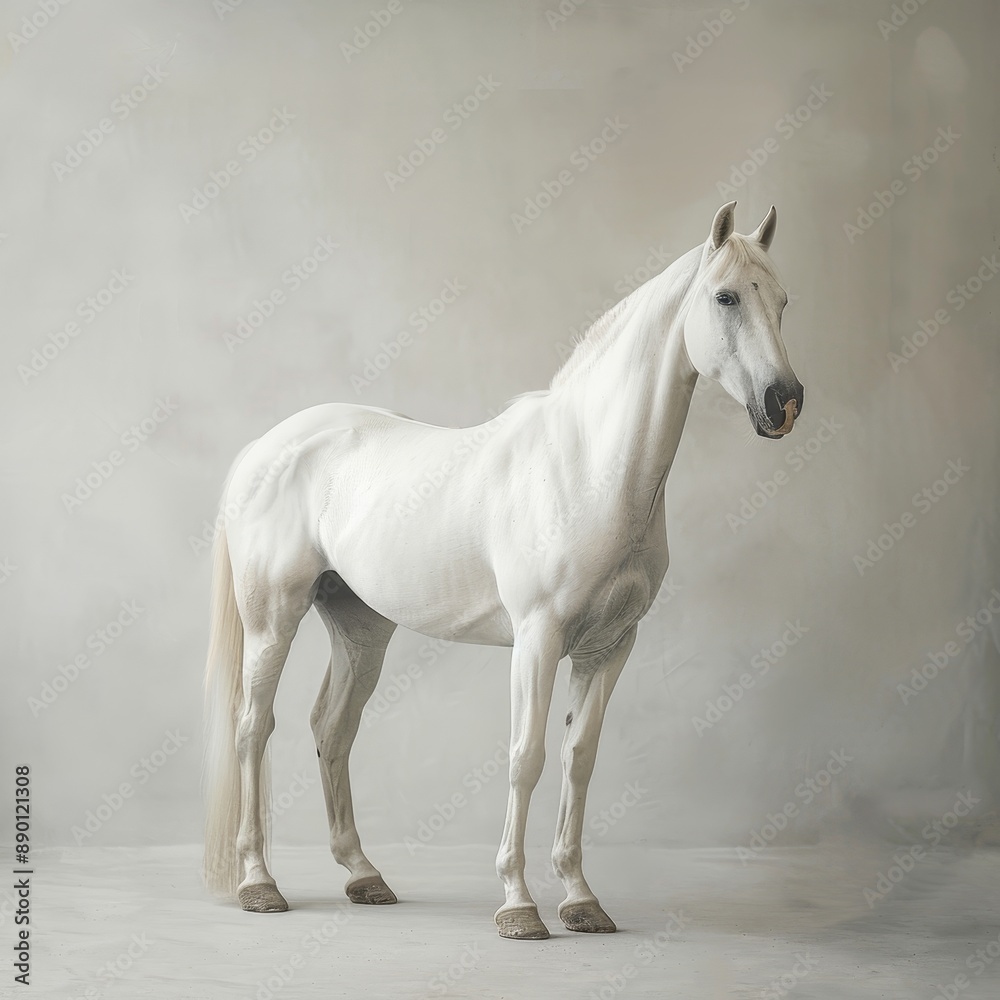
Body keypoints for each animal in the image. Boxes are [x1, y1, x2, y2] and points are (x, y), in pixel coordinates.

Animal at [202, 201, 804, 940]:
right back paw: (259, 882)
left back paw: (365, 876)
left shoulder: (611, 646)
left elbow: (579, 759)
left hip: (360, 626)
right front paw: (519, 906)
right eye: (725, 297)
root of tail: (268, 445)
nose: (784, 403)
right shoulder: (537, 639)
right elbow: (527, 758)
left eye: (782, 301)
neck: (589, 466)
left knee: (331, 729)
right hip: (272, 618)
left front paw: (581, 900)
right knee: (252, 729)